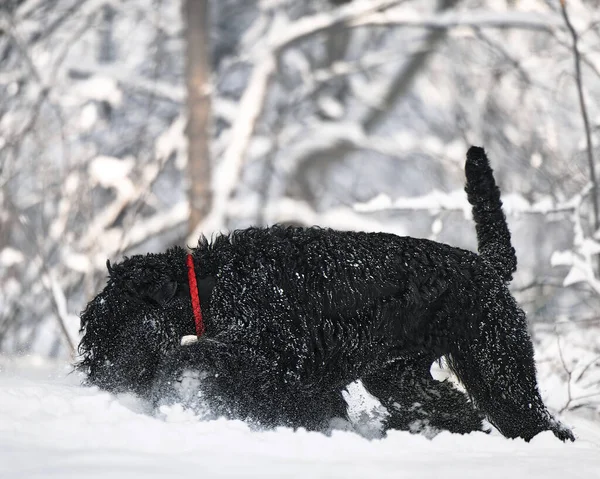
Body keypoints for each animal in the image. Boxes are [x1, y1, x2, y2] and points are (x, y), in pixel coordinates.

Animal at [77, 147, 576, 442]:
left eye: (111, 320)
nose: (96, 373)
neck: (217, 284)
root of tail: (488, 266)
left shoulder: (279, 363)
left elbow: (201, 356)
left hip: (495, 365)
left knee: (534, 419)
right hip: (399, 376)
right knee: (455, 409)